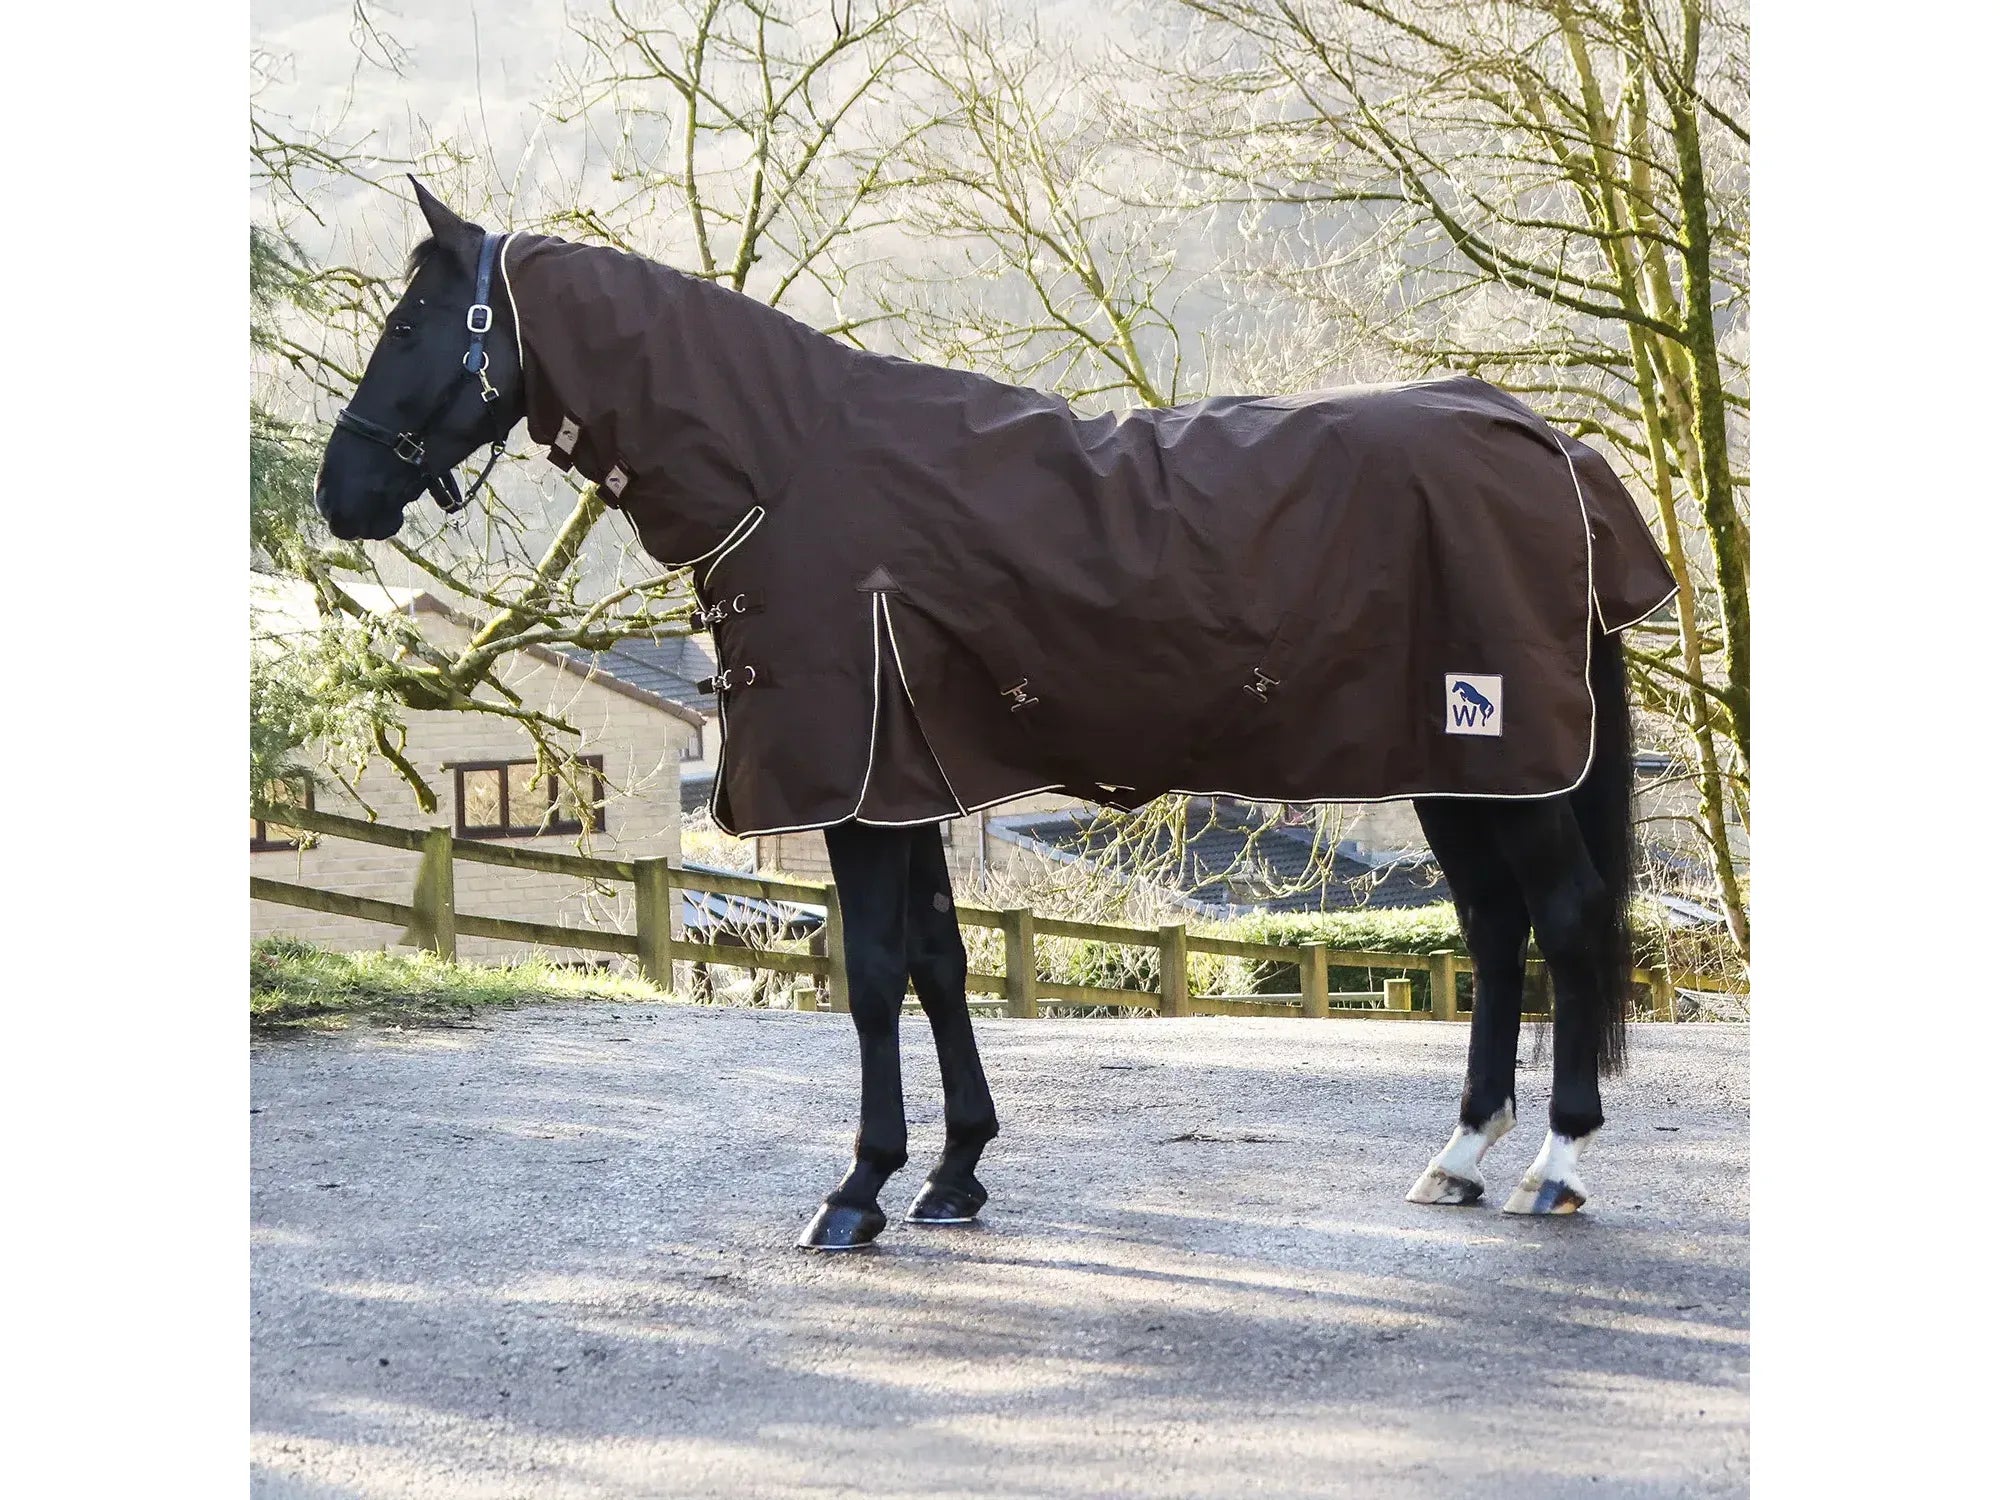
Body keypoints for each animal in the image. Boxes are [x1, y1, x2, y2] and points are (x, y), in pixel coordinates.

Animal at [314, 183, 1674, 1247]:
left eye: (411, 324)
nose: (341, 492)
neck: (786, 469)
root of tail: (1543, 441)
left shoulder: (855, 787)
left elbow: (871, 975)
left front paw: (856, 1190)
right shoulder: (902, 779)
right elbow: (937, 960)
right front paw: (955, 1172)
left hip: (1510, 762)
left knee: (1562, 918)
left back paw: (1552, 1166)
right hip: (1462, 772)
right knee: (1494, 932)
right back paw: (1458, 1157)